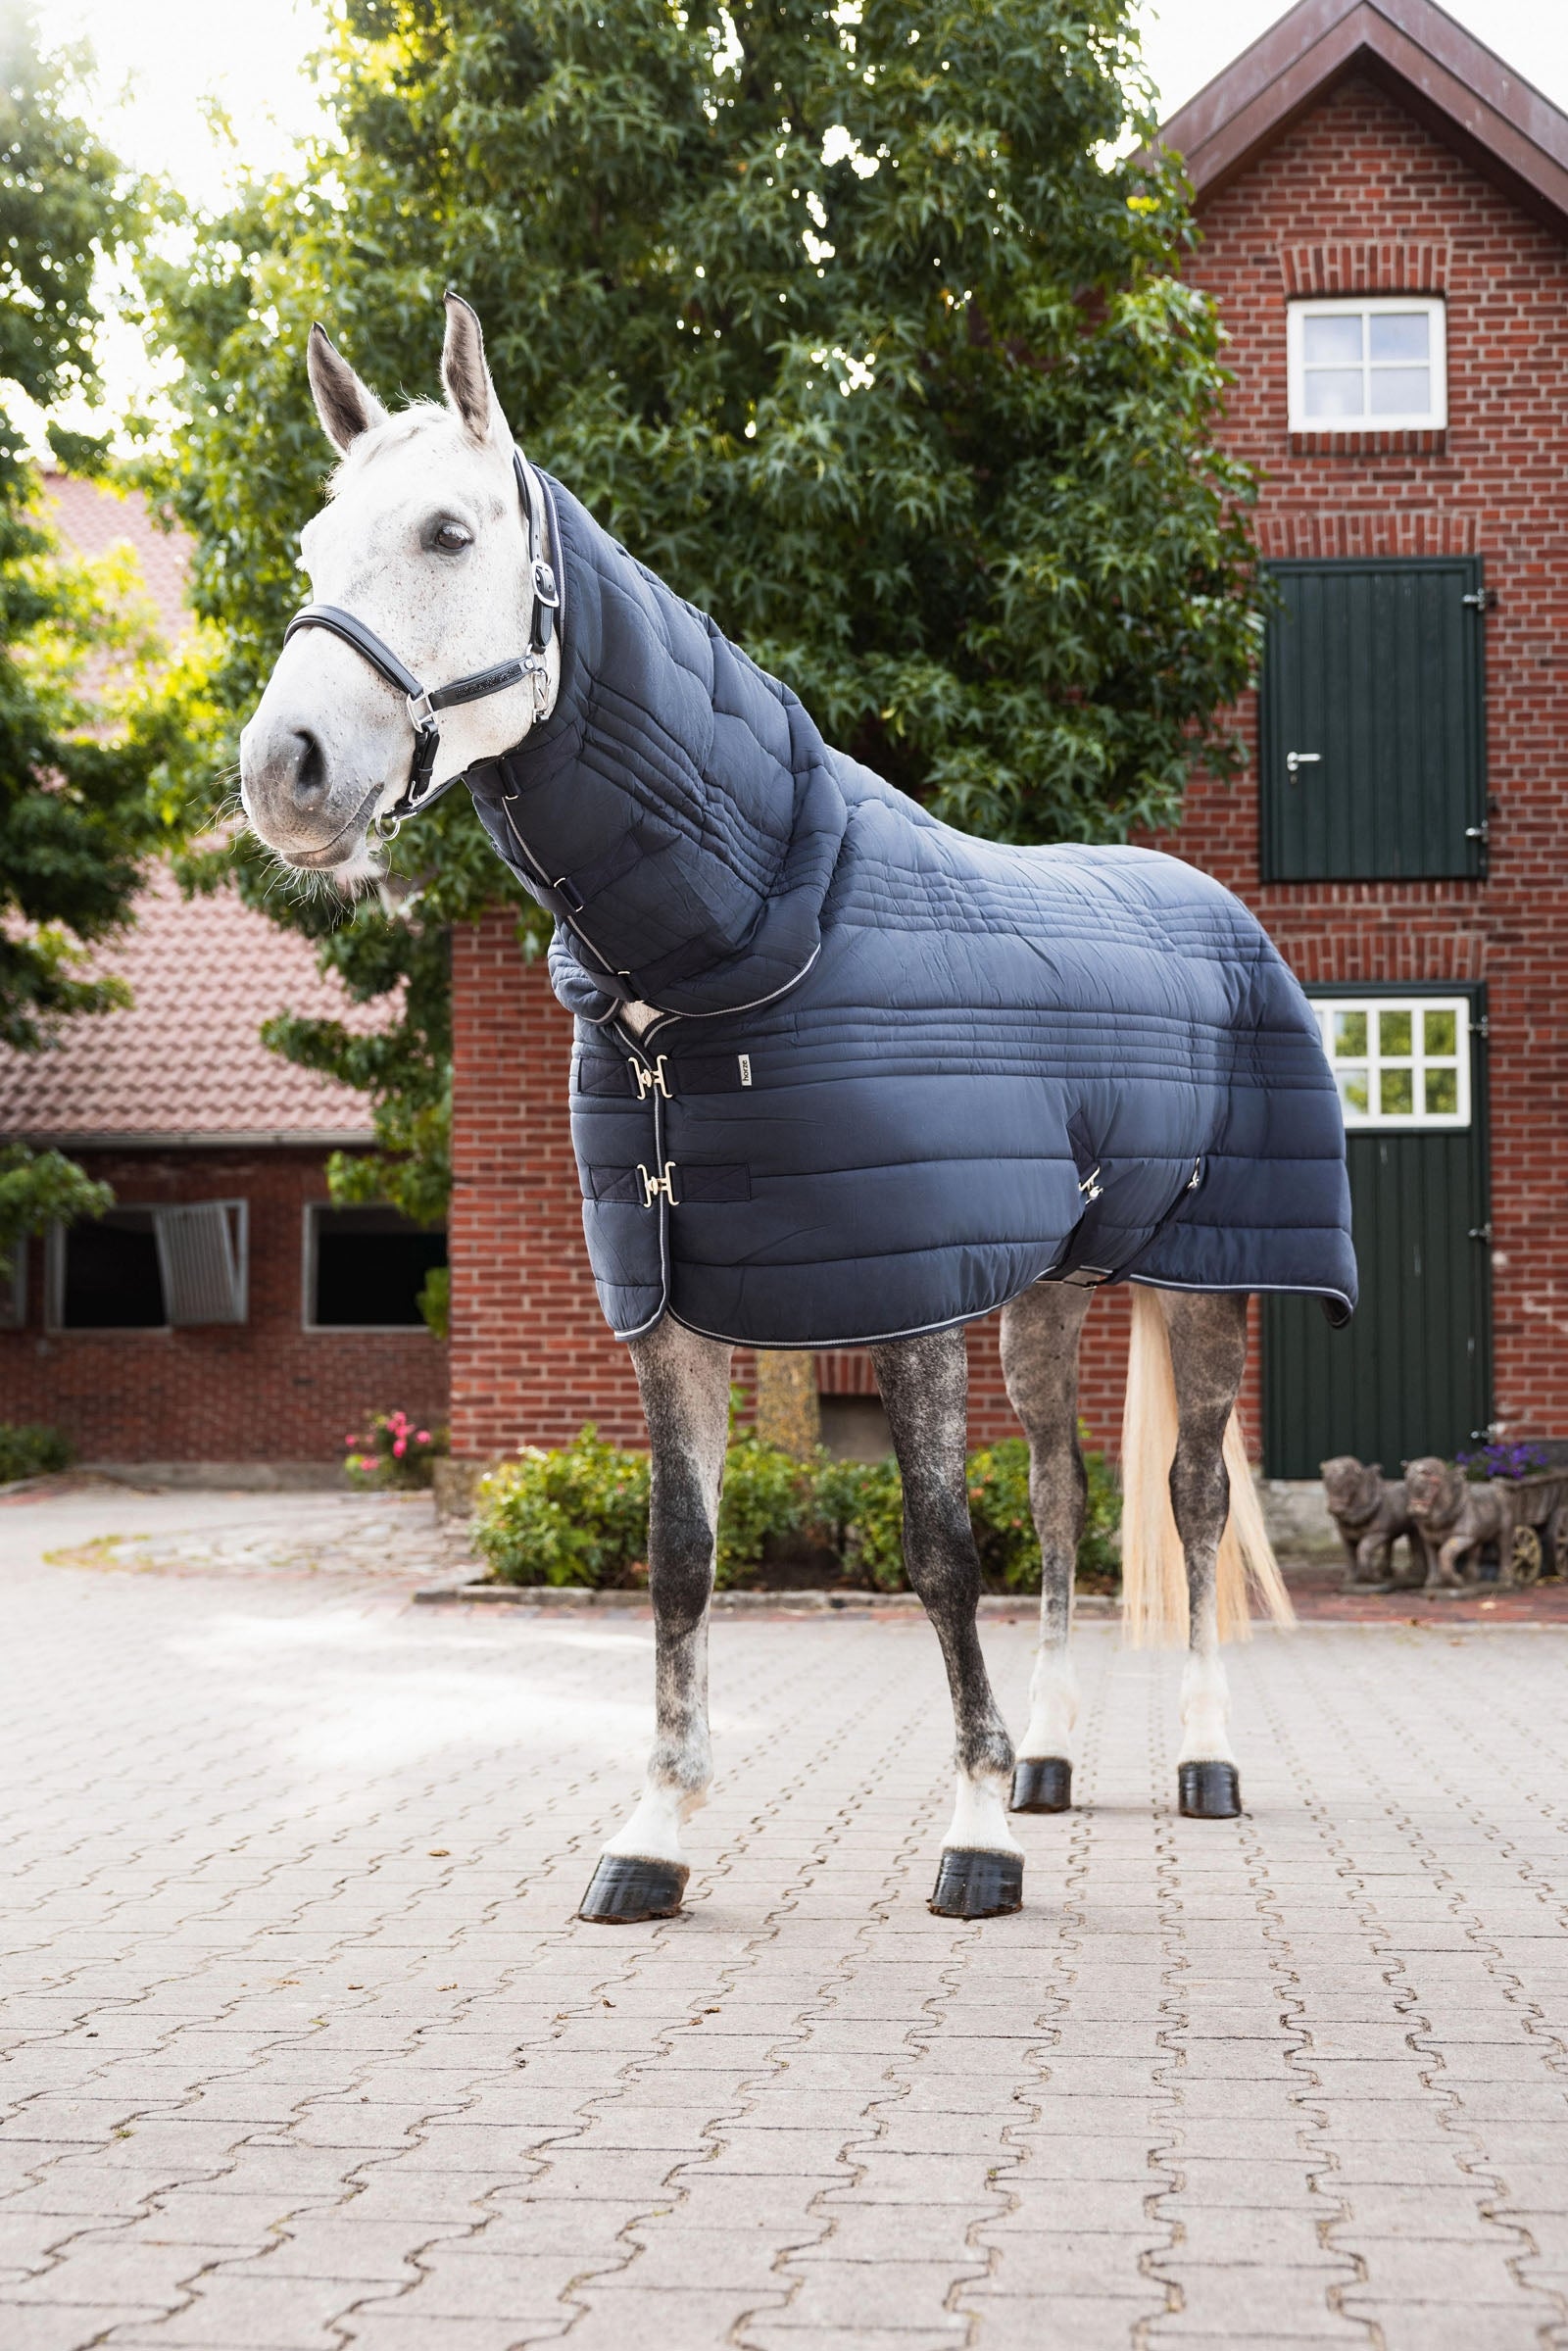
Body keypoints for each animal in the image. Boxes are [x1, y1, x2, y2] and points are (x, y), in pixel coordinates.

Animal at [239, 296, 1354, 1924]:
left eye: (448, 530)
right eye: (313, 546)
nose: (285, 770)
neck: (736, 949)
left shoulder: (909, 1294)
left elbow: (942, 1548)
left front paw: (975, 1833)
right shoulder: (674, 1308)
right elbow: (682, 1557)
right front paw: (654, 1834)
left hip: (1207, 1284)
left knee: (1194, 1497)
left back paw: (1199, 1758)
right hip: (1047, 1298)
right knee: (1067, 1492)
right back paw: (1055, 1756)